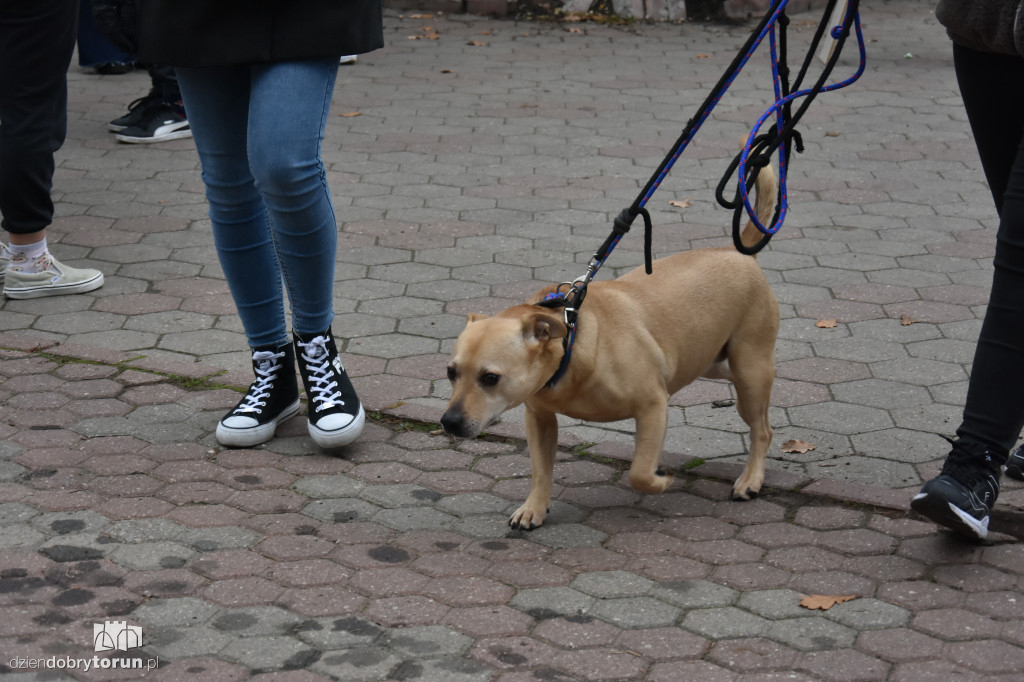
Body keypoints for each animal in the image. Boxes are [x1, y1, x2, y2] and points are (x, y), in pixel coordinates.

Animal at [438, 165, 774, 532]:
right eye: (451, 372)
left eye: (490, 378)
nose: (449, 422)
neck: (571, 349)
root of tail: (736, 252)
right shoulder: (539, 418)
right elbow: (541, 471)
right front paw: (534, 508)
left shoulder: (653, 407)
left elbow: (640, 472)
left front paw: (661, 480)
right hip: (712, 361)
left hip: (750, 375)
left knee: (763, 429)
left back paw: (751, 479)